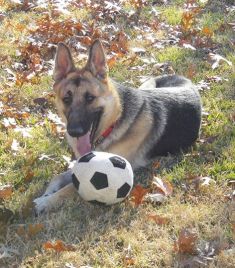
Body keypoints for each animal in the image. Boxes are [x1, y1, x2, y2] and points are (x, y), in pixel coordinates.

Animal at [33, 39, 202, 214]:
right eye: (67, 99)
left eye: (90, 98)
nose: (74, 131)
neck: (113, 124)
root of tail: (182, 77)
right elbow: (58, 177)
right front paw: (47, 193)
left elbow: (72, 187)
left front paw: (46, 201)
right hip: (144, 85)